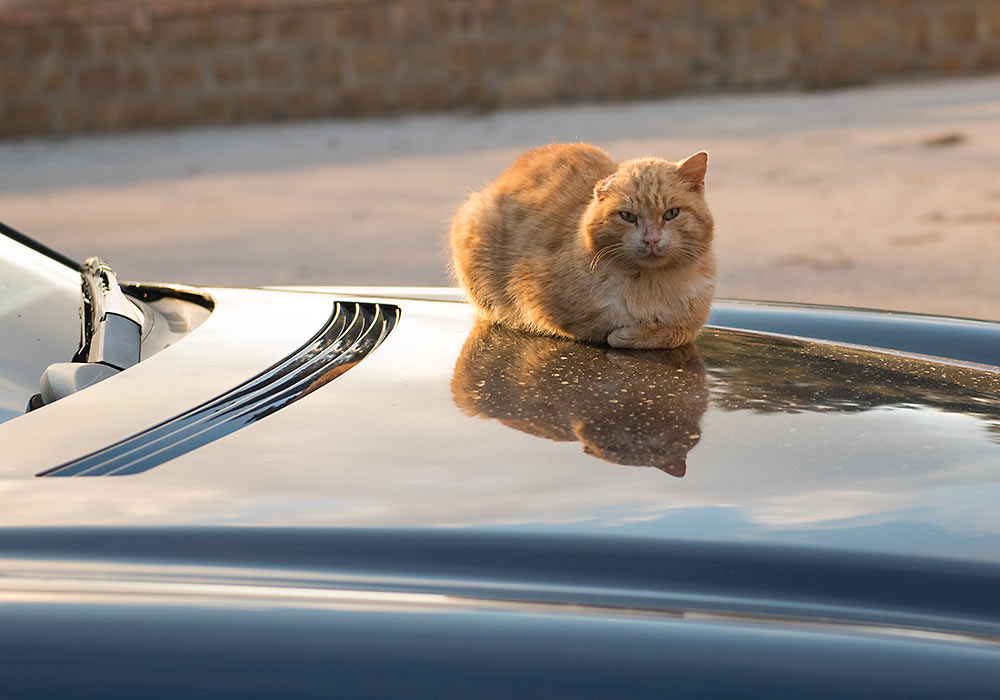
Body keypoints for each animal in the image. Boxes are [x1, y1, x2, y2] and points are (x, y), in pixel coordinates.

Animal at [450, 143, 716, 350]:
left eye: (671, 213)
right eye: (628, 216)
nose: (651, 239)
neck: (649, 285)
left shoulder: (691, 321)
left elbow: (678, 332)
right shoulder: (531, 295)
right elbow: (594, 329)